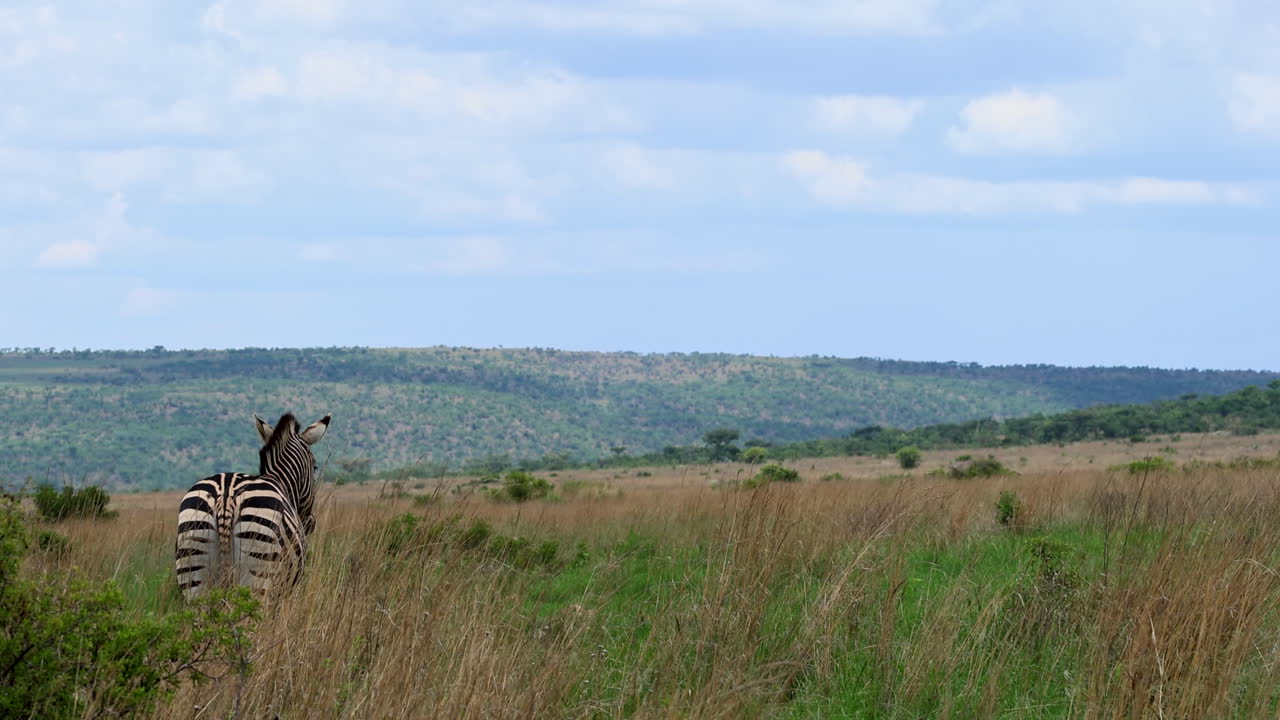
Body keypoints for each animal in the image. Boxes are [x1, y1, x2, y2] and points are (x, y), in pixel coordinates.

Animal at [175, 412, 331, 599]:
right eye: (315, 467)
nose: (311, 523)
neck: (281, 480)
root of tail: (226, 496)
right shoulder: (286, 591)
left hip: (194, 571)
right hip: (259, 569)